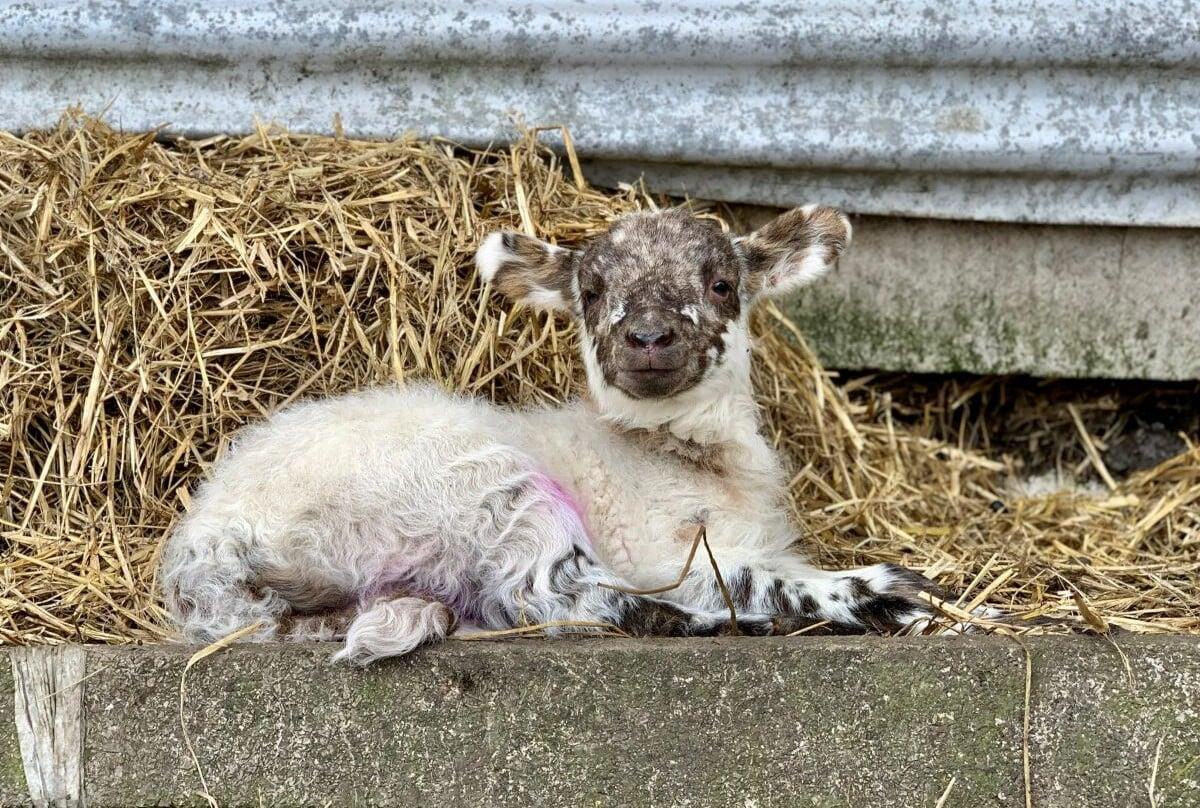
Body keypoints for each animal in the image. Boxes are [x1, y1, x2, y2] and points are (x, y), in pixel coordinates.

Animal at [160, 205, 945, 665]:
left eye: (722, 284)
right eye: (590, 293)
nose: (647, 338)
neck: (678, 455)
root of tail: (208, 541)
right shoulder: (660, 548)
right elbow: (750, 577)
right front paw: (889, 594)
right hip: (480, 488)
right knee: (567, 600)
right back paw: (733, 622)